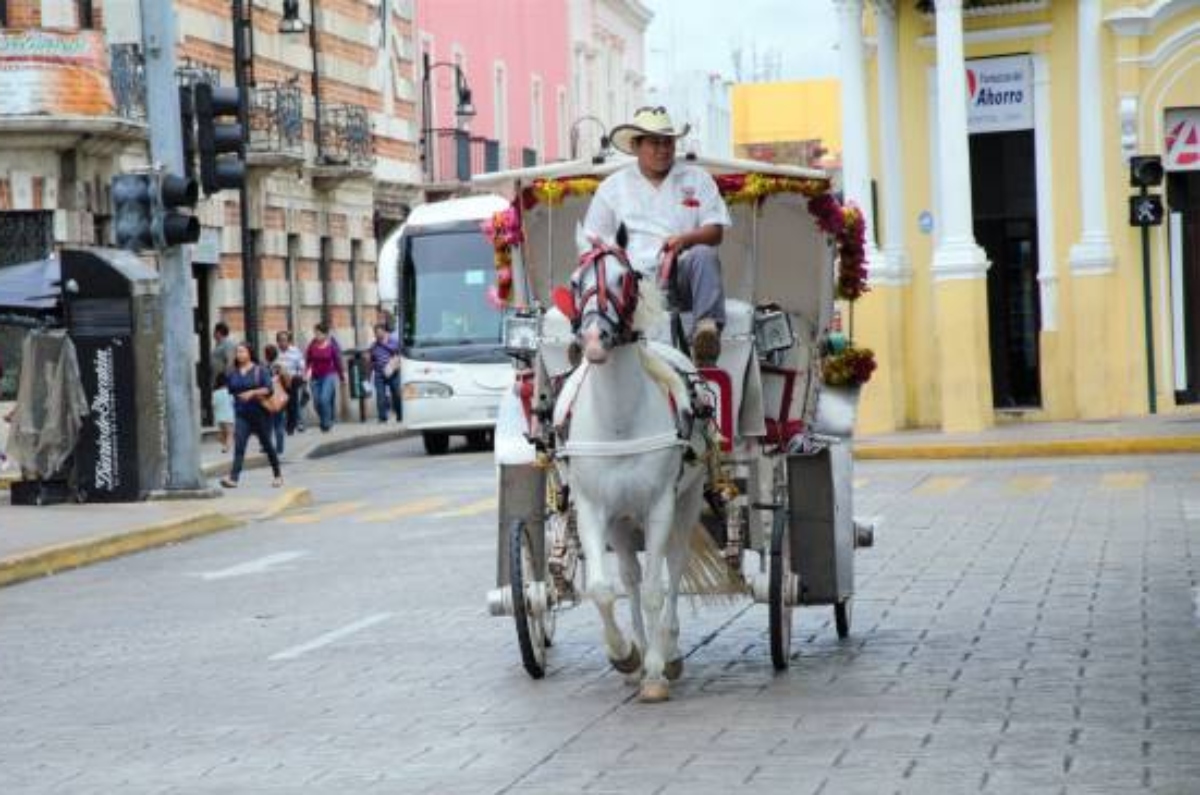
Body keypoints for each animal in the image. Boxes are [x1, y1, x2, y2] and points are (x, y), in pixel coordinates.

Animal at [549, 225, 724, 706]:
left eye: (624, 278)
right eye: (574, 282)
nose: (594, 339)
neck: (618, 420)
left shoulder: (660, 505)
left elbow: (655, 590)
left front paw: (656, 673)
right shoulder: (592, 509)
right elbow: (603, 589)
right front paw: (626, 656)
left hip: (685, 502)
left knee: (673, 567)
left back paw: (669, 652)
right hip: (621, 521)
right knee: (628, 575)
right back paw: (643, 651)